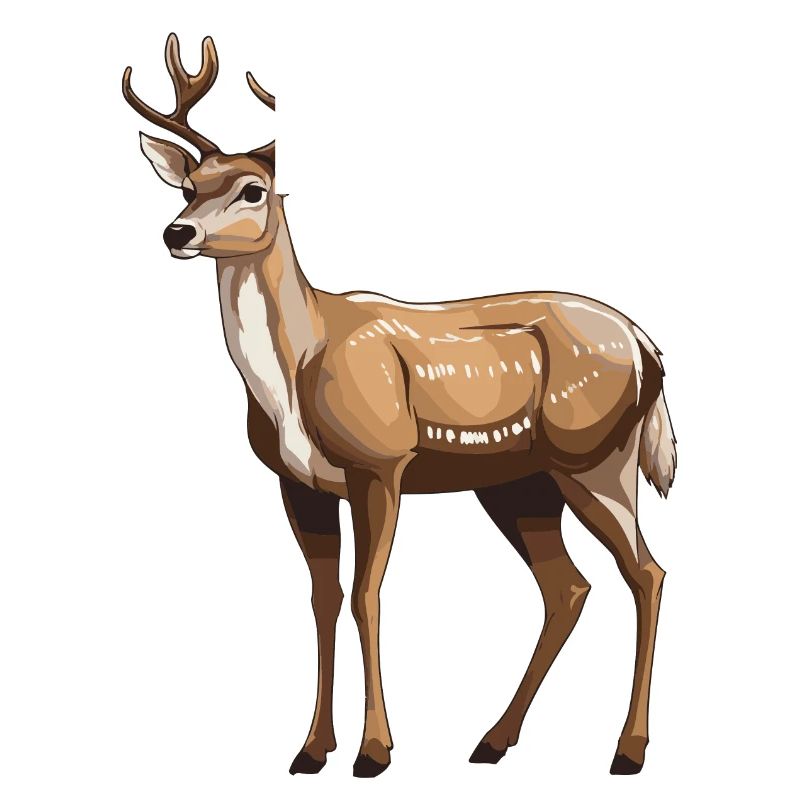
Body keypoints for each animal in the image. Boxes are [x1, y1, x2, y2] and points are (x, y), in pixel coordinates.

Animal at [123, 34, 677, 779]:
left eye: (252, 188)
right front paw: (310, 750)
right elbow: (323, 598)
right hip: (519, 483)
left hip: (595, 454)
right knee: (568, 588)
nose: (176, 233)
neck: (299, 366)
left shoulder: (382, 461)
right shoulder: (297, 482)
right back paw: (492, 741)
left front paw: (374, 751)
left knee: (645, 572)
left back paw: (627, 751)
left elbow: (366, 594)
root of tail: (648, 346)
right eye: (189, 186)